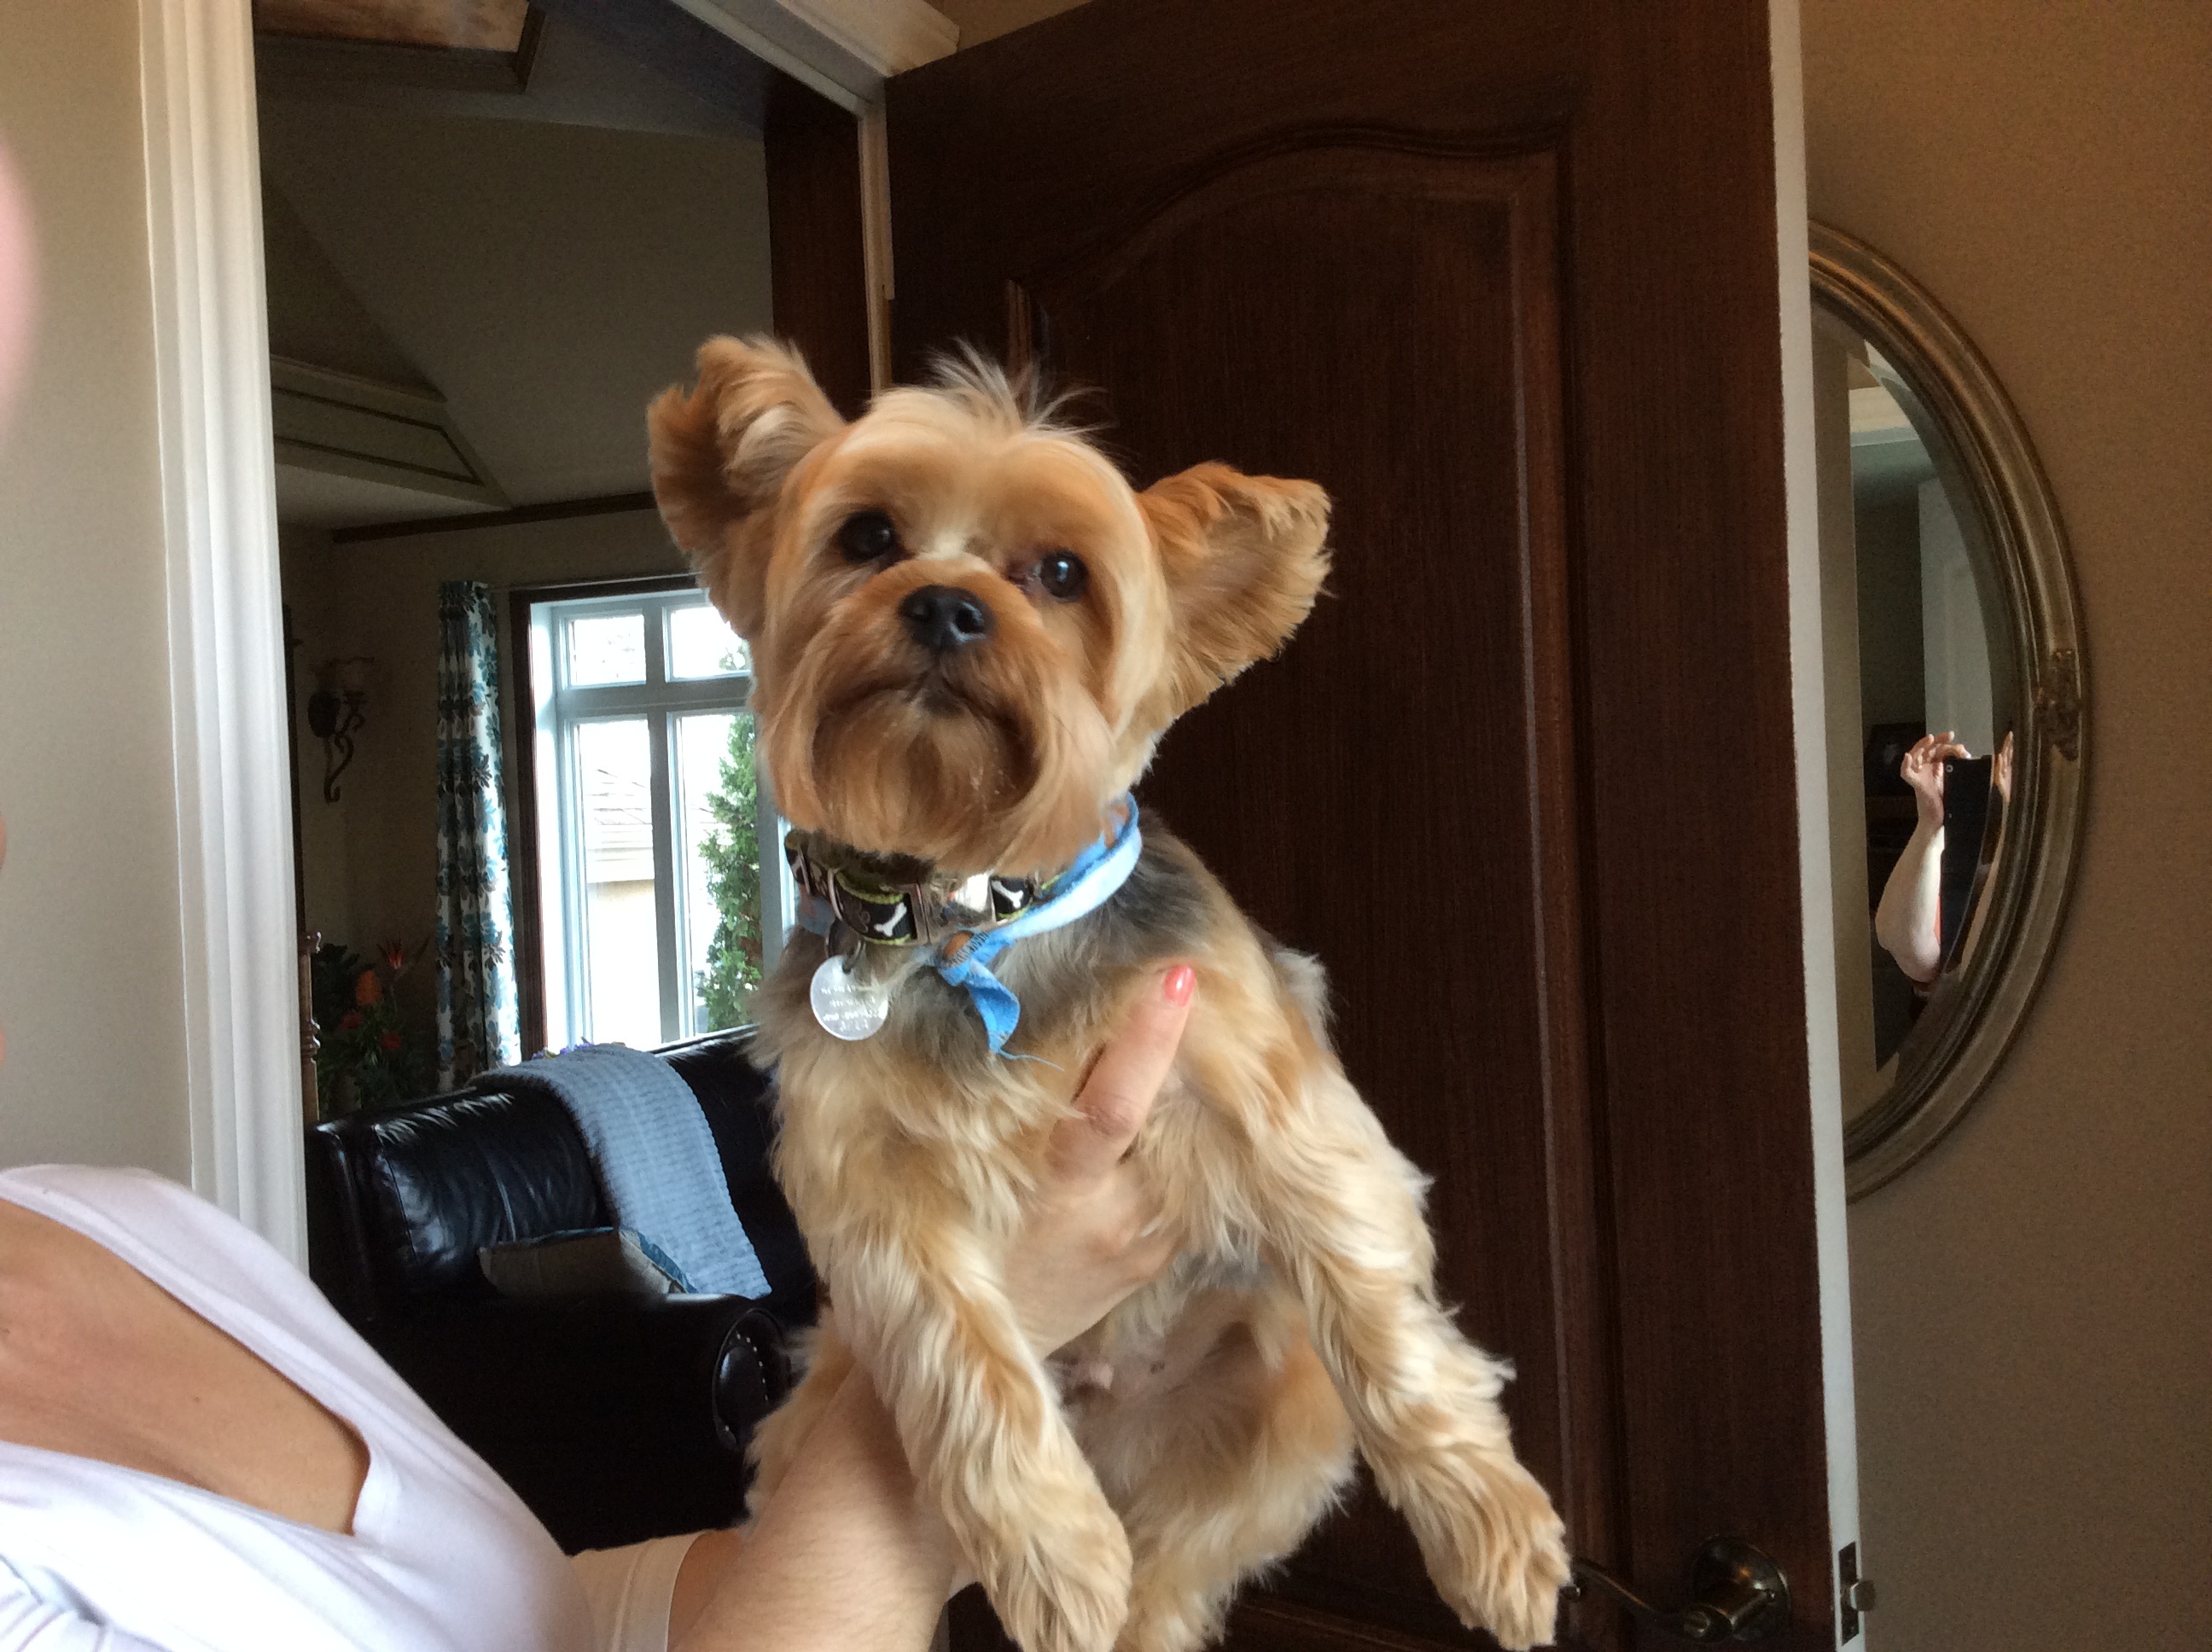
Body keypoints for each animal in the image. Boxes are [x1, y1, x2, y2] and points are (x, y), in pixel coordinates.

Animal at [648, 338, 1570, 1652]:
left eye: (1062, 573)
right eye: (868, 537)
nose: (945, 604)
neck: (975, 918)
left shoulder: (1268, 1086)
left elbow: (1372, 1299)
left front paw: (1489, 1527)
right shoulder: (865, 1178)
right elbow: (953, 1345)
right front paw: (1055, 1555)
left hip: (1268, 1413)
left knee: (1181, 1570)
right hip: (816, 1396)